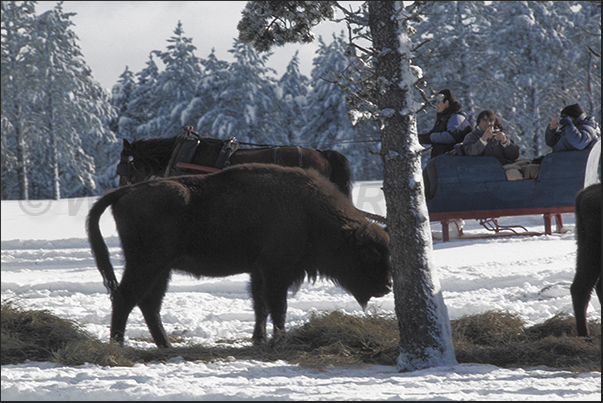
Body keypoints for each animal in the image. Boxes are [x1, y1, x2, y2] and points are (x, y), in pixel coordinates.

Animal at [88, 164, 392, 348]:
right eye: (368, 252)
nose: (387, 286)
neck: (309, 212)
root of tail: (125, 191)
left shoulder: (258, 271)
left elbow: (261, 306)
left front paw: (259, 340)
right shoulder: (276, 270)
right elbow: (277, 306)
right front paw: (278, 339)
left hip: (162, 269)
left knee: (149, 304)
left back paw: (165, 345)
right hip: (147, 264)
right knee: (125, 297)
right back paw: (119, 345)